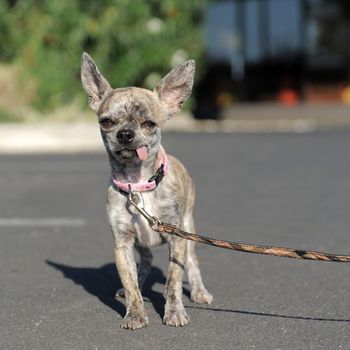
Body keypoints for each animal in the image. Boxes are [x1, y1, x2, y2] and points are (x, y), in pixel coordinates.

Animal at [80, 53, 212, 330]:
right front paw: (135, 313)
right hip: (140, 243)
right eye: (106, 122)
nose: (125, 134)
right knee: (147, 260)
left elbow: (173, 280)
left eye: (149, 124)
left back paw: (199, 291)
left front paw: (174, 312)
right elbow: (129, 282)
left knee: (192, 263)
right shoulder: (122, 244)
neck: (138, 184)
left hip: (188, 228)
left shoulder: (177, 239)